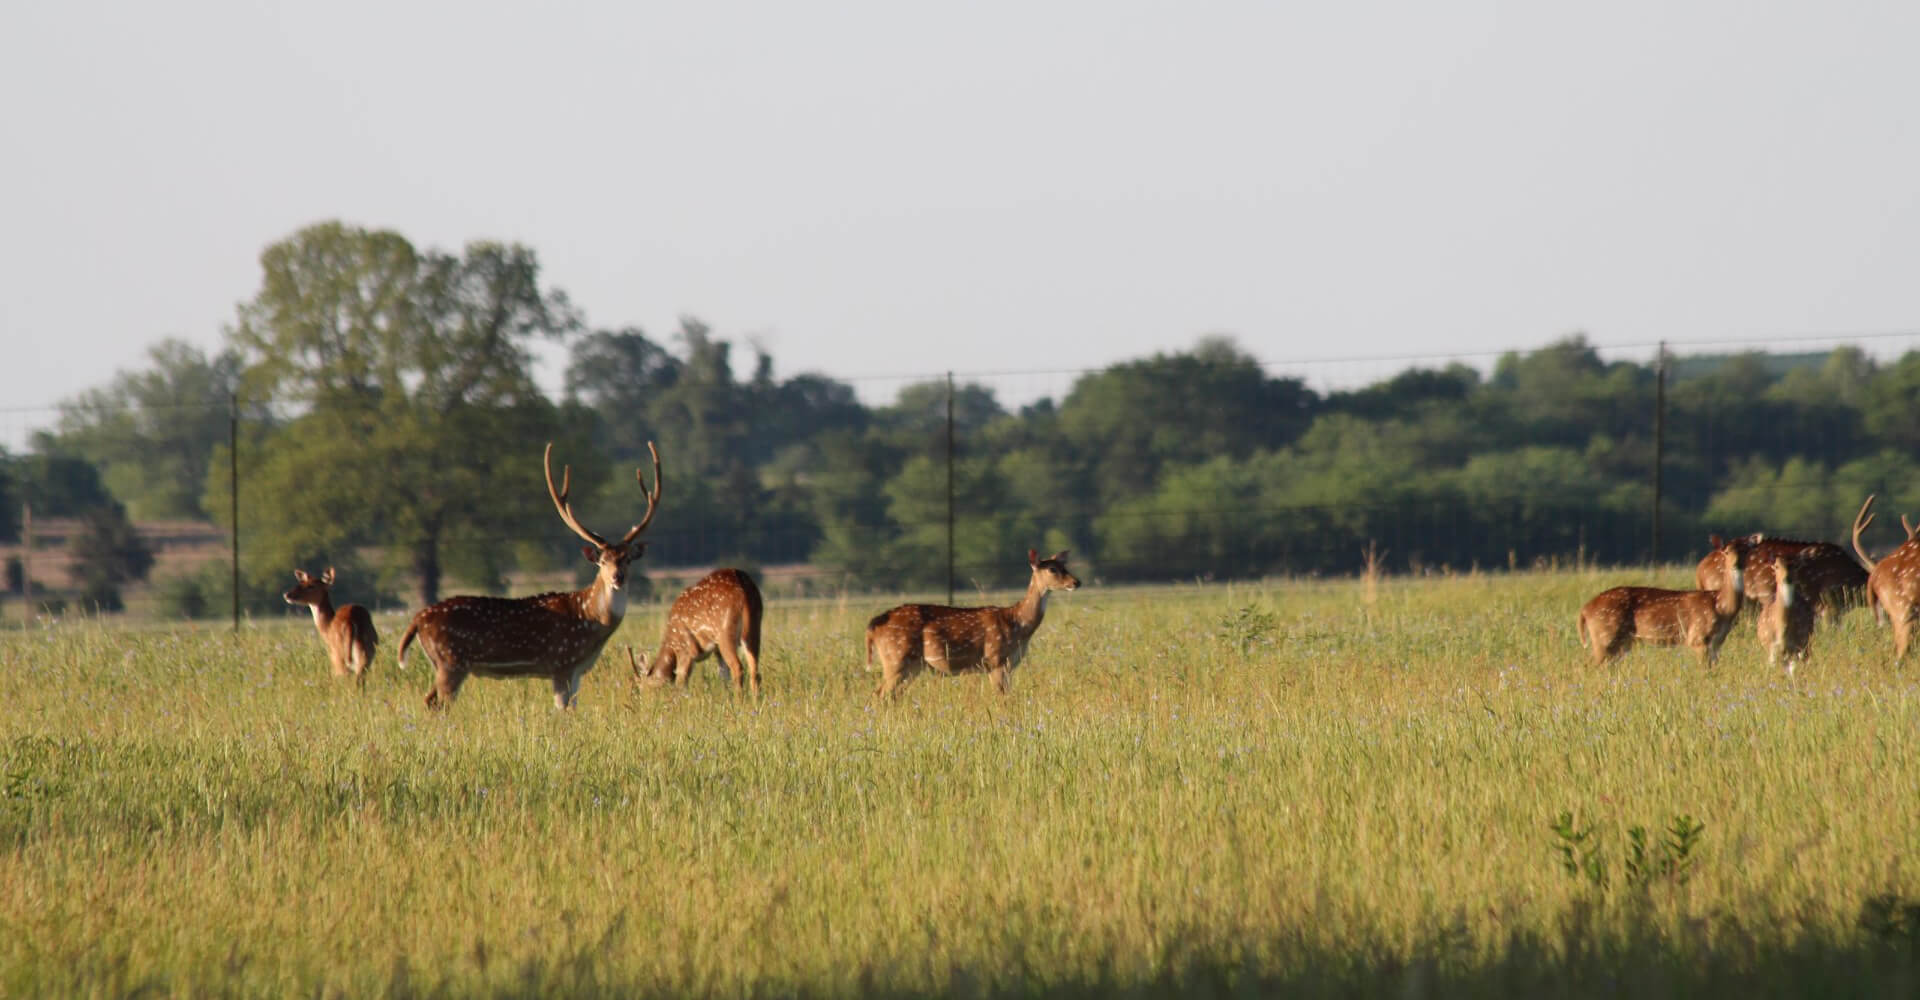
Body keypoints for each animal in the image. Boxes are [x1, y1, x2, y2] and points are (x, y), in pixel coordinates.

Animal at [396, 441, 661, 710]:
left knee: (430, 700)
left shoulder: (576, 670)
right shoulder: (561, 661)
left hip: (443, 662)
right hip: (450, 661)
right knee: (436, 702)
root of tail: (417, 619)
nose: (618, 577)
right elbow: (563, 710)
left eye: (627, 558)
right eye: (603, 561)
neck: (590, 619)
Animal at [630, 568, 764, 694]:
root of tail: (743, 590)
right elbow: (723, 677)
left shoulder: (686, 649)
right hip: (754, 626)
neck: (671, 643)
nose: (646, 700)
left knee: (738, 667)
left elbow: (681, 682)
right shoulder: (716, 650)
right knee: (755, 671)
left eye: (643, 687)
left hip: (724, 631)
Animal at [867, 549, 1080, 700]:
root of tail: (875, 624)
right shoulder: (995, 659)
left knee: (892, 696)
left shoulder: (1009, 665)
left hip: (911, 666)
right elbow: (1002, 698)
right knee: (879, 694)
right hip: (896, 657)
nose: (1076, 582)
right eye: (1052, 569)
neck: (1018, 624)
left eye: (1065, 566)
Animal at [1577, 535, 1746, 667]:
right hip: (1604, 635)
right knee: (1586, 665)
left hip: (1621, 643)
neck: (1721, 607)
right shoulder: (1698, 637)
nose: (1737, 564)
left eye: (1746, 550)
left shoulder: (1717, 643)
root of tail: (1585, 610)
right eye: (1726, 551)